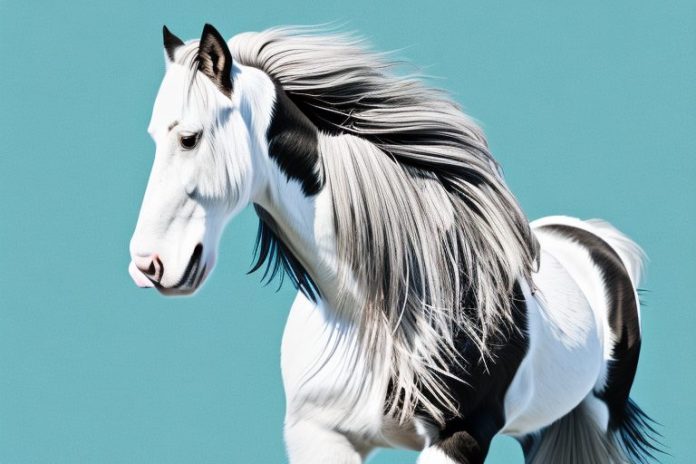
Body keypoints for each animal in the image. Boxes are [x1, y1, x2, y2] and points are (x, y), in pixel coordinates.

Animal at [128, 24, 660, 463]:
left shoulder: (460, 436)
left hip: (595, 419)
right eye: (153, 137)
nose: (148, 265)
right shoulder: (317, 434)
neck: (373, 310)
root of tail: (594, 238)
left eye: (190, 138)